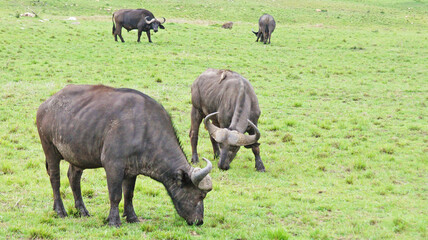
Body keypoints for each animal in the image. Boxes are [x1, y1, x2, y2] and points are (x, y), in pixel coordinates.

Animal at [36, 85, 212, 227]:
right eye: (201, 195)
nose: (199, 221)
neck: (144, 129)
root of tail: (46, 105)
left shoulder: (132, 171)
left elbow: (129, 194)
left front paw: (132, 217)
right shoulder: (113, 166)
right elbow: (115, 195)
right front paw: (114, 220)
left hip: (77, 156)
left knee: (73, 177)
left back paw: (82, 210)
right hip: (50, 150)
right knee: (55, 179)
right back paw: (60, 210)